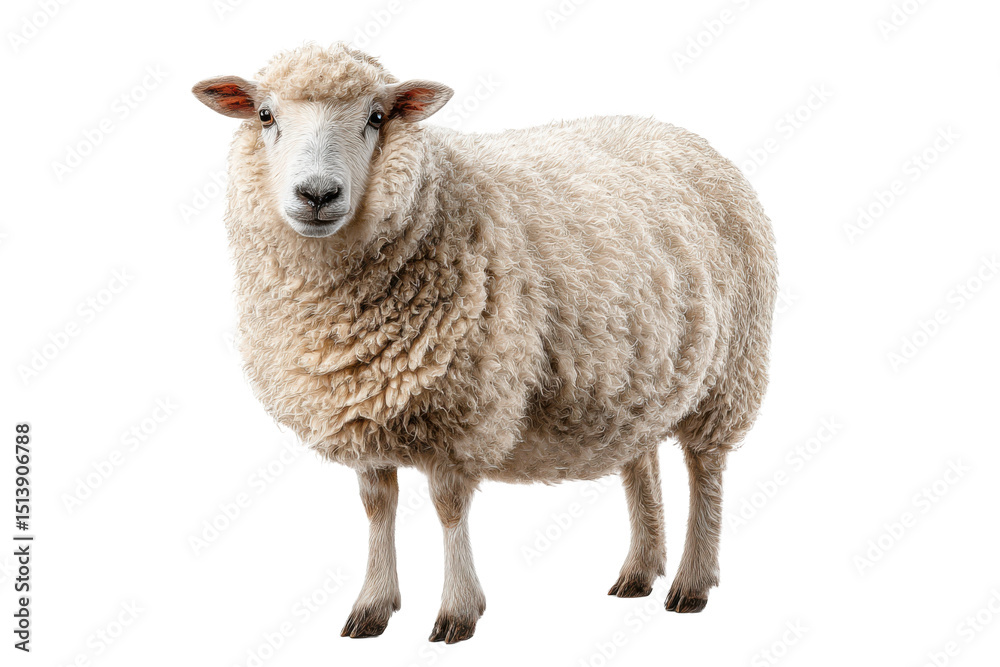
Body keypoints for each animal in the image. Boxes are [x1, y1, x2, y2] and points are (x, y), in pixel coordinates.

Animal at [192, 42, 777, 644]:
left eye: (377, 117)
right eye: (265, 115)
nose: (316, 194)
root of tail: (677, 133)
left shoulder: (464, 411)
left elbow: (449, 508)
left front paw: (457, 611)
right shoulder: (361, 407)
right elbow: (377, 507)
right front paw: (373, 606)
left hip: (731, 369)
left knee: (706, 469)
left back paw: (692, 583)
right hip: (639, 369)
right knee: (640, 461)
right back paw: (639, 572)